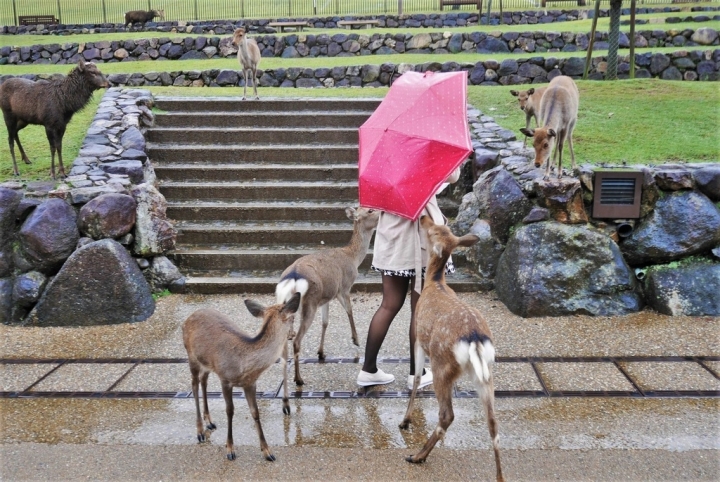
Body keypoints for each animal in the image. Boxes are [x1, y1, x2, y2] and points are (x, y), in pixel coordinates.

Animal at [183, 292, 304, 462]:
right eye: (293, 318)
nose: (292, 334)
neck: (244, 364)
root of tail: (189, 317)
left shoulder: (250, 383)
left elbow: (255, 412)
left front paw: (267, 451)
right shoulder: (225, 379)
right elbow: (230, 411)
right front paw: (230, 449)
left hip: (207, 363)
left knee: (203, 380)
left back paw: (210, 422)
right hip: (191, 355)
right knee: (194, 385)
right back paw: (200, 431)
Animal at [274, 205, 380, 386]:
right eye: (370, 210)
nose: (384, 212)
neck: (353, 257)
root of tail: (293, 277)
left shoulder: (325, 298)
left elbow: (325, 322)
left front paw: (321, 352)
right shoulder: (343, 287)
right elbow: (349, 311)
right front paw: (356, 340)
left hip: (287, 300)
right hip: (310, 302)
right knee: (297, 341)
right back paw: (299, 379)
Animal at [396, 216, 504, 482]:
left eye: (434, 230)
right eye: (441, 228)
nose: (423, 217)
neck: (435, 283)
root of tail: (474, 340)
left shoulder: (418, 337)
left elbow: (416, 379)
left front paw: (405, 421)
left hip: (442, 363)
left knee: (447, 414)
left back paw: (417, 456)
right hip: (485, 372)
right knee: (493, 423)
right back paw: (500, 477)